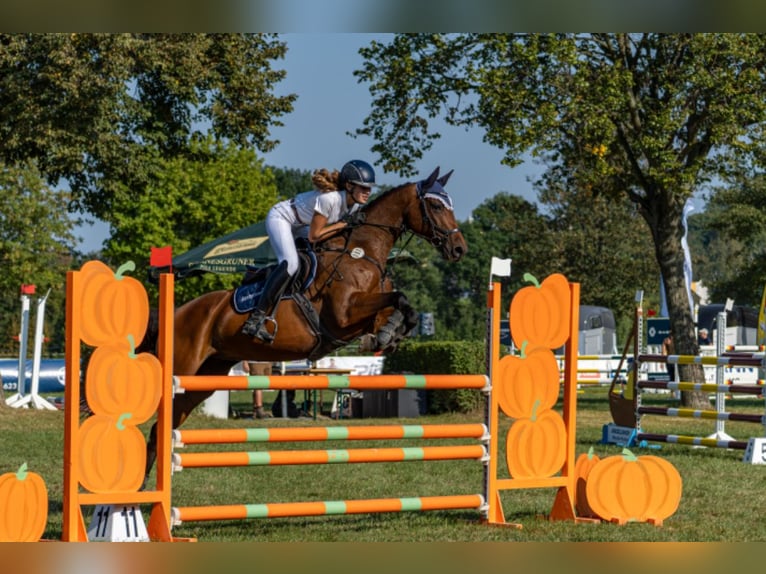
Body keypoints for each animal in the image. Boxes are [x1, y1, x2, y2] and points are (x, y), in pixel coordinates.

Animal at [141, 167, 468, 481]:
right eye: (436, 205)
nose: (459, 249)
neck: (362, 253)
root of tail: (178, 312)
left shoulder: (366, 314)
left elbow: (401, 308)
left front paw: (388, 337)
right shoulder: (343, 316)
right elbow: (399, 297)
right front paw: (387, 335)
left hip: (204, 378)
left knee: (162, 428)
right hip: (183, 369)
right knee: (159, 424)